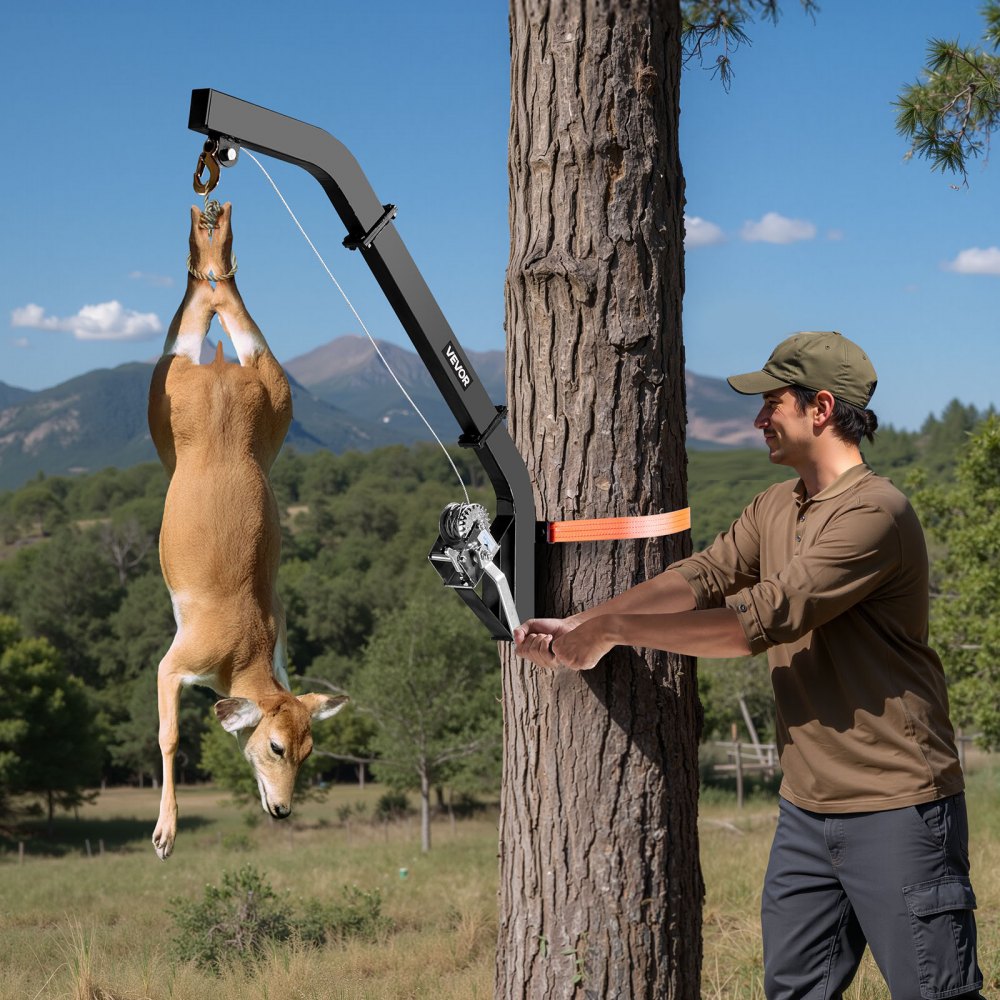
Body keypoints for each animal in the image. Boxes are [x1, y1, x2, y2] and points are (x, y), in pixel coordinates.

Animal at [147, 202, 346, 860]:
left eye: (310, 750)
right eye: (276, 746)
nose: (282, 808)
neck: (243, 653)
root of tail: (218, 375)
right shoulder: (176, 659)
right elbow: (168, 735)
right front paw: (165, 833)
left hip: (270, 394)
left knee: (223, 310)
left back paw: (212, 238)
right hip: (166, 389)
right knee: (196, 322)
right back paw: (207, 236)